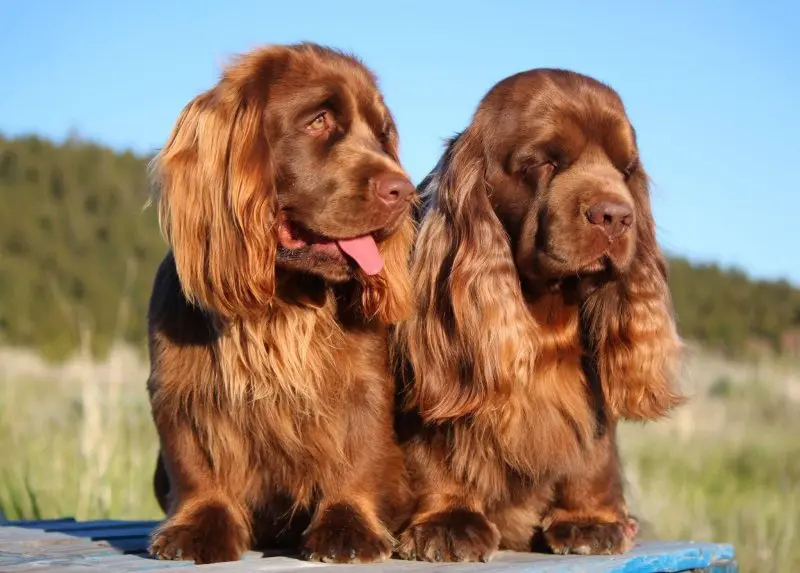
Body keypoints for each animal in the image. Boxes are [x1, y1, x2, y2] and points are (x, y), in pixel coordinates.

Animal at [394, 68, 680, 564]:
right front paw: (447, 522)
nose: (616, 216)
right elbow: (430, 448)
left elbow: (594, 451)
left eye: (626, 170)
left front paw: (591, 519)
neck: (543, 308)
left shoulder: (591, 392)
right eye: (543, 162)